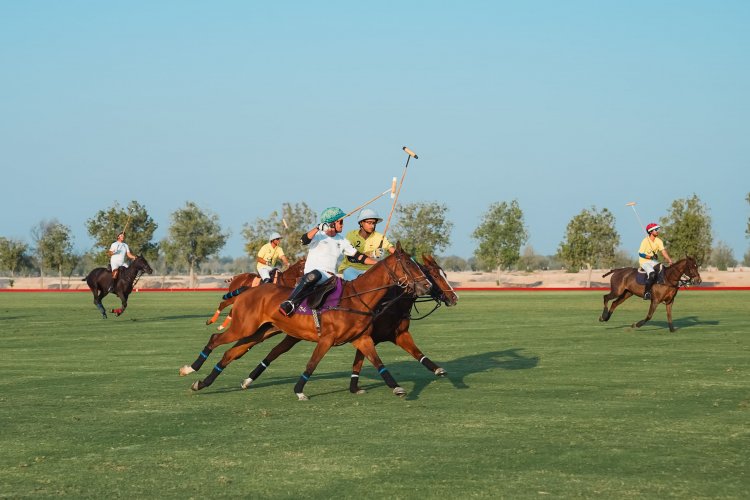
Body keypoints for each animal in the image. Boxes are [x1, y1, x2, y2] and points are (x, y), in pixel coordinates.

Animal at [178, 244, 432, 400]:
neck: (356, 298)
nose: (427, 285)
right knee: (215, 339)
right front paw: (299, 390)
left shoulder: (361, 338)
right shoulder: (327, 339)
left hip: (260, 331)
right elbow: (312, 363)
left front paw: (397, 387)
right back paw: (190, 368)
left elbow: (378, 363)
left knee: (231, 353)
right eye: (409, 265)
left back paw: (203, 383)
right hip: (243, 326)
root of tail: (247, 290)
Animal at [241, 254, 462, 394]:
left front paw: (438, 369)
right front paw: (355, 386)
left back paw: (249, 379)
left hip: (292, 334)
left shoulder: (396, 335)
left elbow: (416, 353)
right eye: (434, 275)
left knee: (274, 351)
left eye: (443, 274)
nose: (454, 298)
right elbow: (362, 359)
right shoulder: (370, 336)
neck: (390, 303)